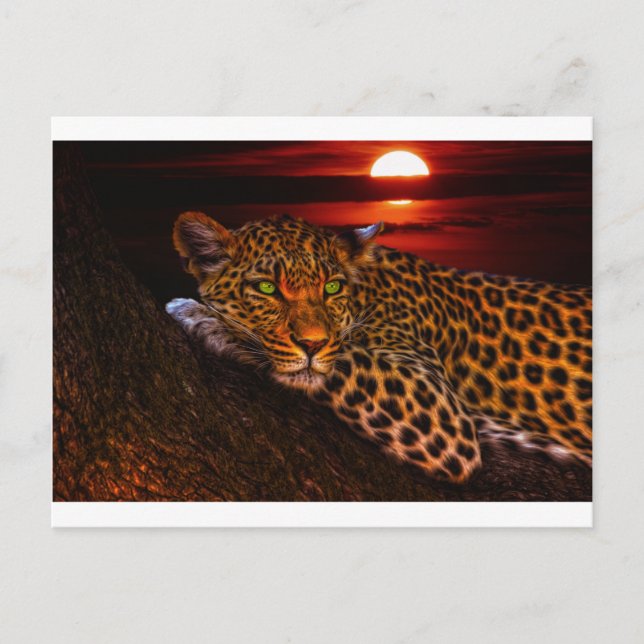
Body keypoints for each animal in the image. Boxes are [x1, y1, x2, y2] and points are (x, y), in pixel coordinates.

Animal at [166, 211, 592, 484]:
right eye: (268, 288)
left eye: (332, 287)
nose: (312, 344)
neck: (366, 293)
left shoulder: (438, 409)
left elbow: (341, 360)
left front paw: (203, 317)